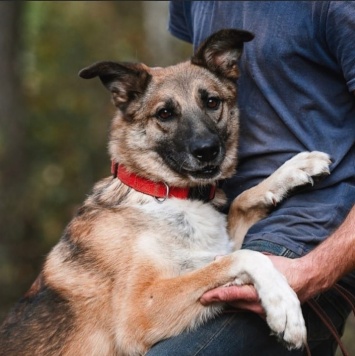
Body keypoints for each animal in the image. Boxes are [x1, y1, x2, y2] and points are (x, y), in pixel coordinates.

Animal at [0, 28, 330, 356]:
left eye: (212, 102)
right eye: (165, 113)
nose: (207, 151)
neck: (167, 193)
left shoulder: (215, 246)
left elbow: (241, 203)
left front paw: (294, 169)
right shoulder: (140, 310)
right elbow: (245, 257)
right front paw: (284, 307)